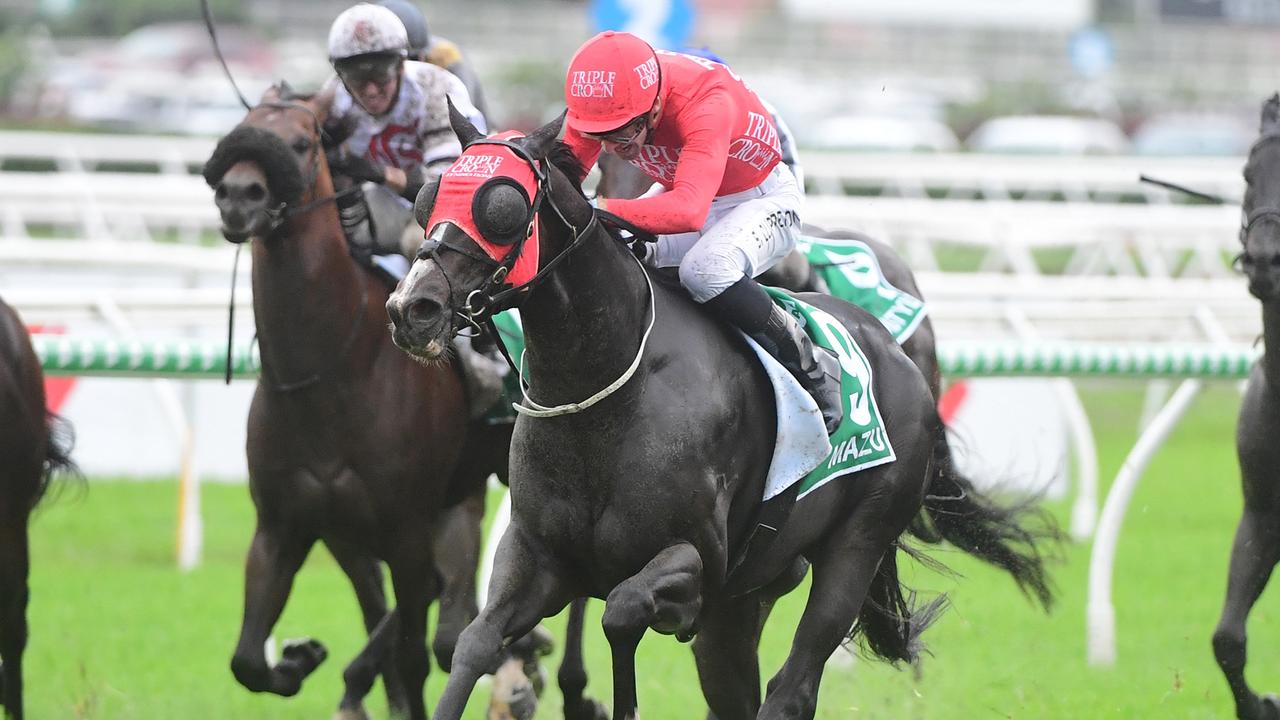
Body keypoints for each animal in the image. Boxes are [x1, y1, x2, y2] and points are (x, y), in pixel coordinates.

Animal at [199, 83, 509, 717]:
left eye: (301, 141)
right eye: (243, 126)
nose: (238, 195)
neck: (328, 375)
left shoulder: (406, 529)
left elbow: (413, 654)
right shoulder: (283, 525)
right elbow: (247, 660)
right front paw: (297, 659)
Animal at [384, 107, 1054, 717]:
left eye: (501, 206)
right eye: (428, 196)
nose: (412, 308)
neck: (605, 388)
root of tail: (900, 354)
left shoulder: (701, 567)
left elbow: (622, 611)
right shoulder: (539, 556)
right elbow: (475, 644)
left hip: (855, 545)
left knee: (790, 689)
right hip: (748, 600)